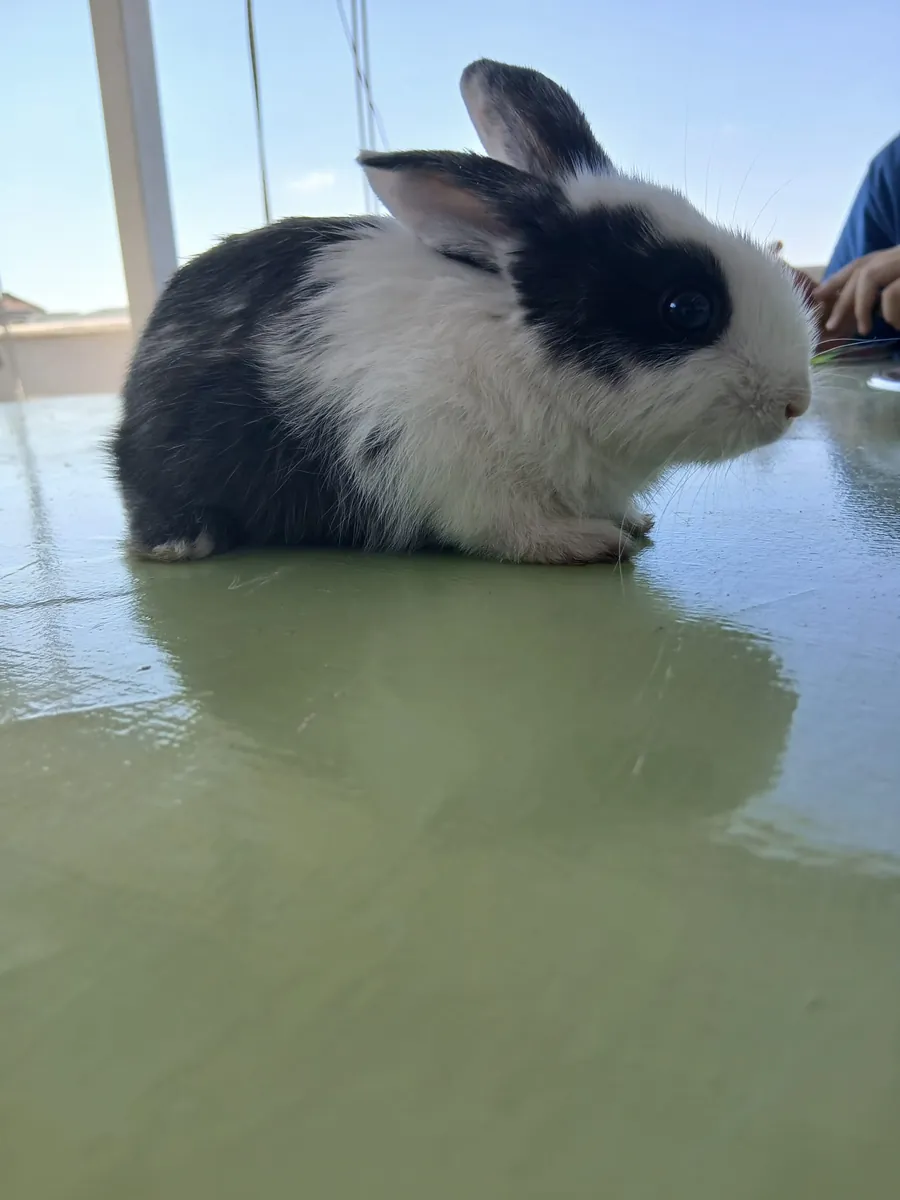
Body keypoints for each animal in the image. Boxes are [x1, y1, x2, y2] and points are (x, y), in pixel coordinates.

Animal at [111, 58, 815, 566]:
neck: (523, 353)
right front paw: (588, 543)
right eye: (687, 308)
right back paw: (184, 544)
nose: (797, 402)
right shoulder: (448, 466)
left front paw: (631, 520)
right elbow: (511, 530)